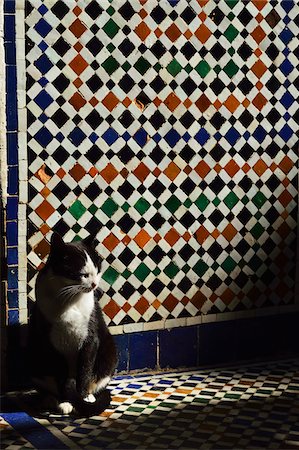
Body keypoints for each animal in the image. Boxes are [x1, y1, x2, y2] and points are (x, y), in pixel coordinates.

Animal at [27, 234, 117, 416]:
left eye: (97, 269)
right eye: (83, 275)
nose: (94, 284)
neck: (70, 297)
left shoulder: (91, 337)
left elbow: (85, 370)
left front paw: (82, 399)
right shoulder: (50, 342)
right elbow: (60, 374)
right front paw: (66, 401)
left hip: (109, 352)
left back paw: (89, 397)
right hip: (33, 355)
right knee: (48, 386)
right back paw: (52, 400)